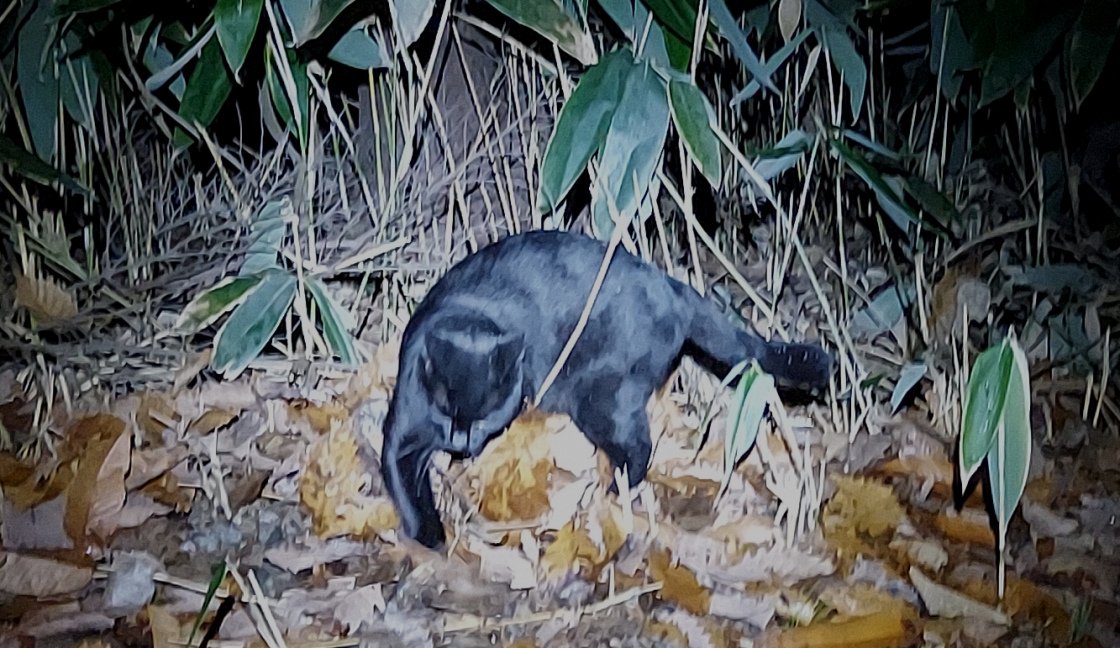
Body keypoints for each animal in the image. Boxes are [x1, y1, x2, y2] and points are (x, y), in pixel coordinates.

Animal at [380, 230, 828, 550]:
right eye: (444, 411)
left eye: (485, 416)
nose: (460, 442)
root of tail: (676, 290)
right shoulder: (403, 428)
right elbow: (404, 482)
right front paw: (429, 534)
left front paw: (431, 542)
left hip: (600, 398)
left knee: (640, 448)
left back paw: (613, 492)